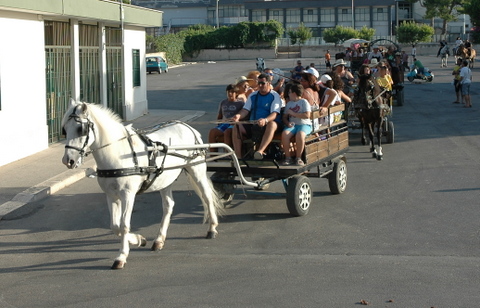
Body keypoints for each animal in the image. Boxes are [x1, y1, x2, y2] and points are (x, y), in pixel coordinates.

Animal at [61, 101, 223, 270]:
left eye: (81, 129)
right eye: (64, 129)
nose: (68, 160)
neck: (118, 153)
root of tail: (187, 127)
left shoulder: (128, 195)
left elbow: (124, 225)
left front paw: (121, 256)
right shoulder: (111, 195)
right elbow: (114, 226)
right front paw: (139, 240)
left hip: (196, 170)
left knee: (207, 196)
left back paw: (212, 228)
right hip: (165, 179)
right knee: (168, 205)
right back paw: (159, 240)